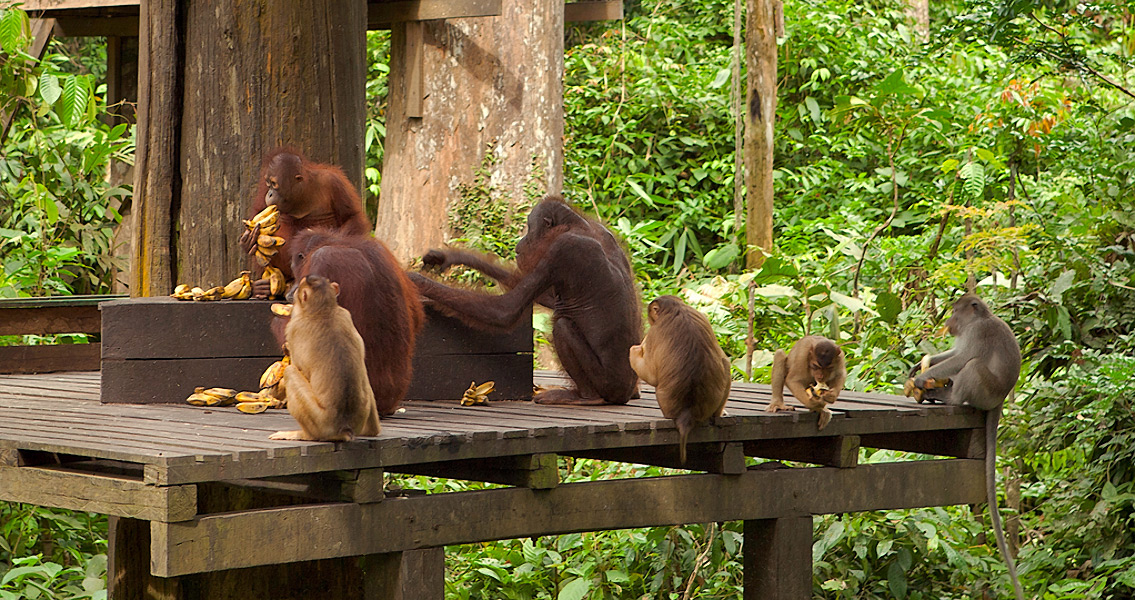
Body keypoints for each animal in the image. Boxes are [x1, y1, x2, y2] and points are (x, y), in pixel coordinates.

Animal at [267, 275, 379, 440]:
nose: (292, 293)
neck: (324, 310)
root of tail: (343, 428)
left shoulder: (294, 328)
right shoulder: (346, 314)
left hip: (319, 422)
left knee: (290, 372)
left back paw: (303, 435)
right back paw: (372, 431)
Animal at [631, 294, 726, 462]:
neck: (676, 308)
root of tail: (686, 414)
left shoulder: (654, 333)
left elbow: (651, 375)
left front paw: (635, 349)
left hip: (668, 409)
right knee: (725, 363)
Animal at [903, 290, 1030, 598]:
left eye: (955, 312)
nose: (949, 322)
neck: (979, 319)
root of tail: (1000, 399)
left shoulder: (978, 333)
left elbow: (961, 357)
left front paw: (922, 377)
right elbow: (952, 354)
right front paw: (921, 364)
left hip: (985, 389)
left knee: (971, 366)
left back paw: (948, 397)